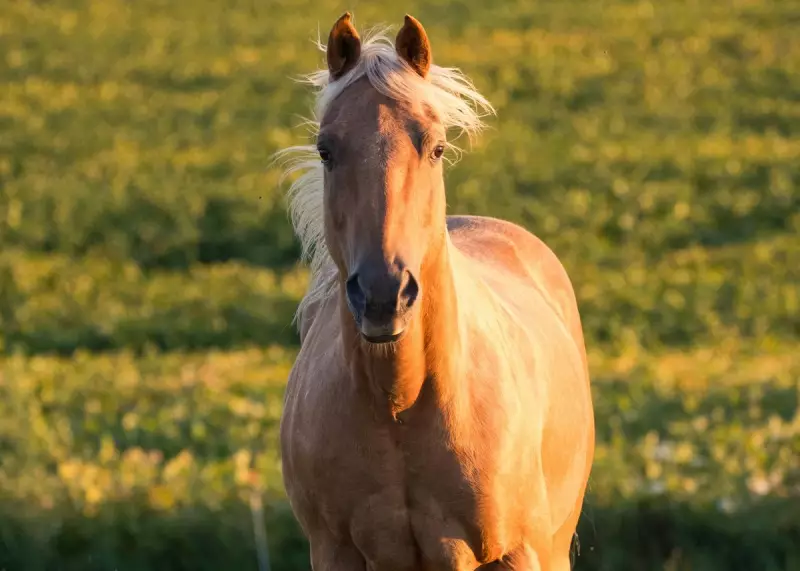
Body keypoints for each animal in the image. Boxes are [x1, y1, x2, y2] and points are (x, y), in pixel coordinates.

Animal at [277, 12, 595, 570]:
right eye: (325, 150)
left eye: (437, 147)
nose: (383, 294)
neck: (402, 404)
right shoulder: (334, 552)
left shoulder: (516, 552)